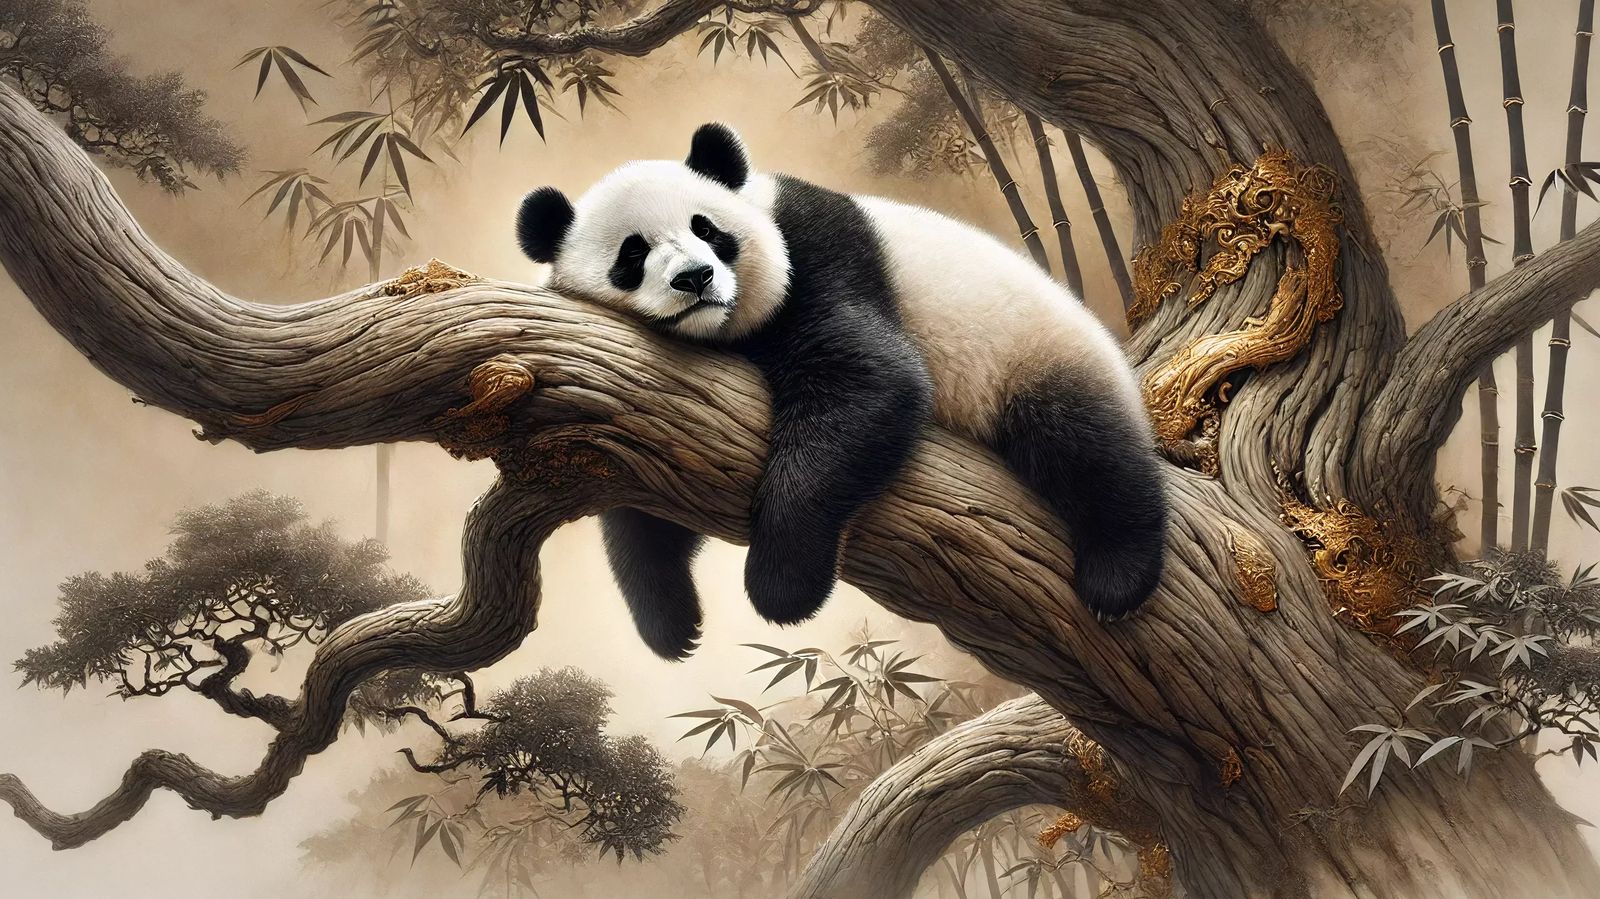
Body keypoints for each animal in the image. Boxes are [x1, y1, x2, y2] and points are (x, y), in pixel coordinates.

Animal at [516, 123, 1168, 659]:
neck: (721, 331)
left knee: (1083, 445)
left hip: (1035, 351)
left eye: (708, 229)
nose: (695, 278)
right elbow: (640, 502)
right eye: (633, 253)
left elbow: (870, 383)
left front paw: (782, 587)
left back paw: (1117, 577)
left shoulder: (816, 256)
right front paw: (671, 622)